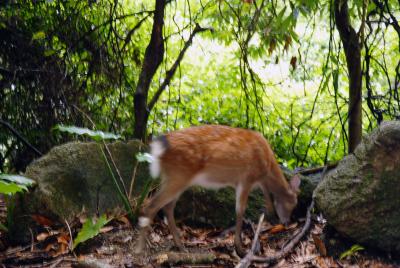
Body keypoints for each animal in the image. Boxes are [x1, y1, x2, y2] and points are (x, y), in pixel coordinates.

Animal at [135, 125, 300, 255]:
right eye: (292, 204)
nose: (286, 222)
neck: (267, 165)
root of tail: (159, 147)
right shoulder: (246, 179)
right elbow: (240, 211)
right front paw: (240, 248)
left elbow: (266, 198)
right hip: (178, 176)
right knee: (151, 205)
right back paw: (140, 248)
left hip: (174, 178)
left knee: (168, 207)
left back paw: (180, 246)